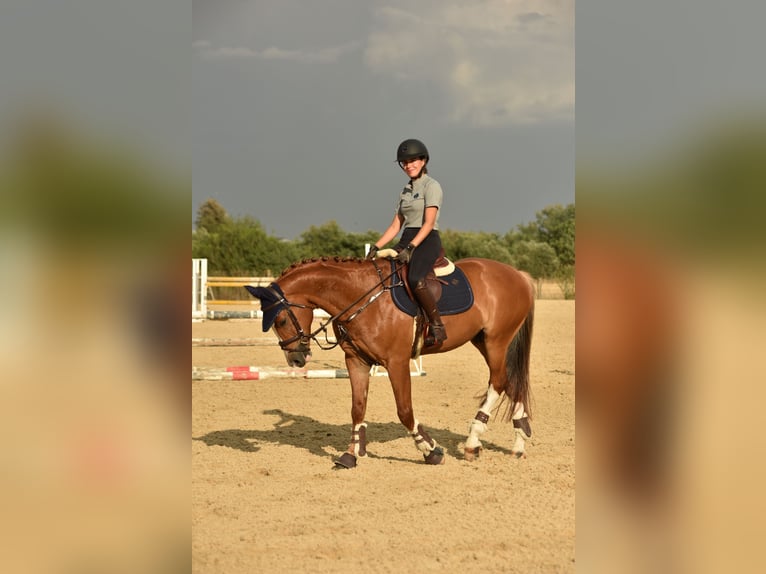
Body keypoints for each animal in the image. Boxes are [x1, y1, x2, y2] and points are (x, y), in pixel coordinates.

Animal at [246, 256, 536, 468]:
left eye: (281, 319)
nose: (295, 358)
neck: (362, 297)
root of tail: (518, 274)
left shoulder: (396, 362)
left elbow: (405, 410)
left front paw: (430, 450)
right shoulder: (356, 361)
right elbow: (357, 408)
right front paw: (351, 454)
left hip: (496, 341)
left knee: (498, 382)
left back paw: (473, 442)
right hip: (483, 341)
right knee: (512, 383)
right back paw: (519, 443)